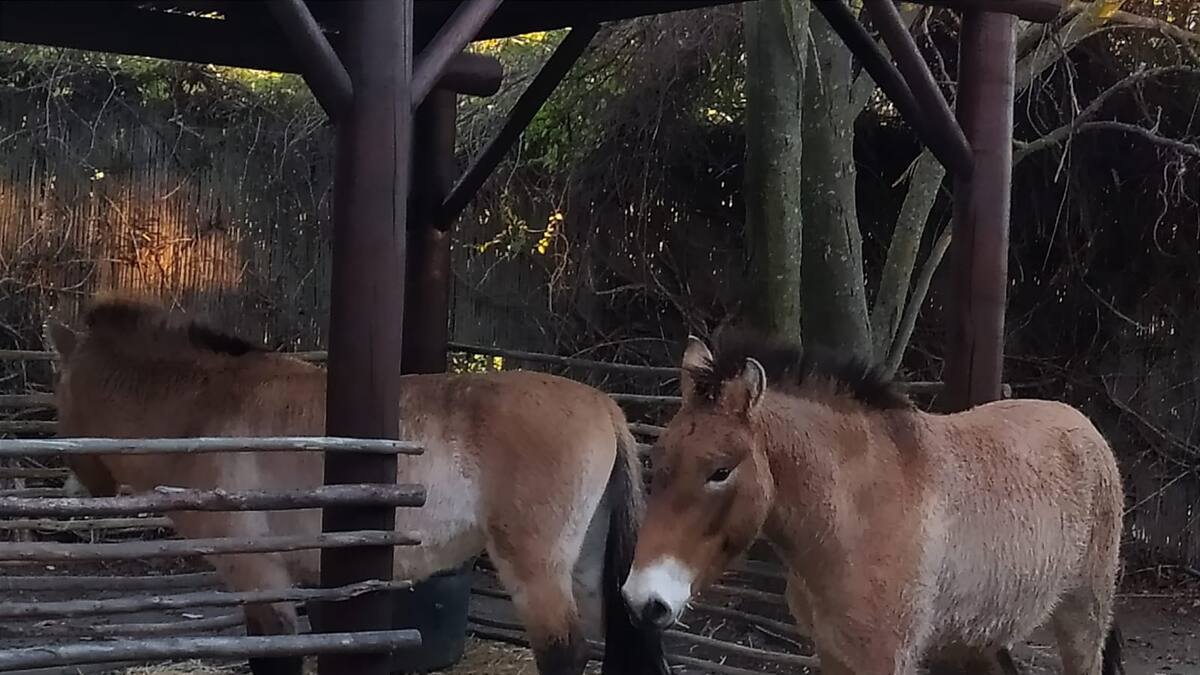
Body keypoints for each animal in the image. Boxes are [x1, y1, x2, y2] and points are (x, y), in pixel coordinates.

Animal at [46, 295, 669, 675]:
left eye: (60, 400)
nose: (78, 486)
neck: (208, 408)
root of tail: (604, 404)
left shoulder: (259, 575)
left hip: (538, 572)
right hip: (586, 569)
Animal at [621, 329, 1125, 675]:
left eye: (720, 471)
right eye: (658, 459)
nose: (643, 599)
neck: (853, 517)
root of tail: (1086, 428)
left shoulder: (884, 659)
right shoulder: (833, 654)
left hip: (1082, 620)